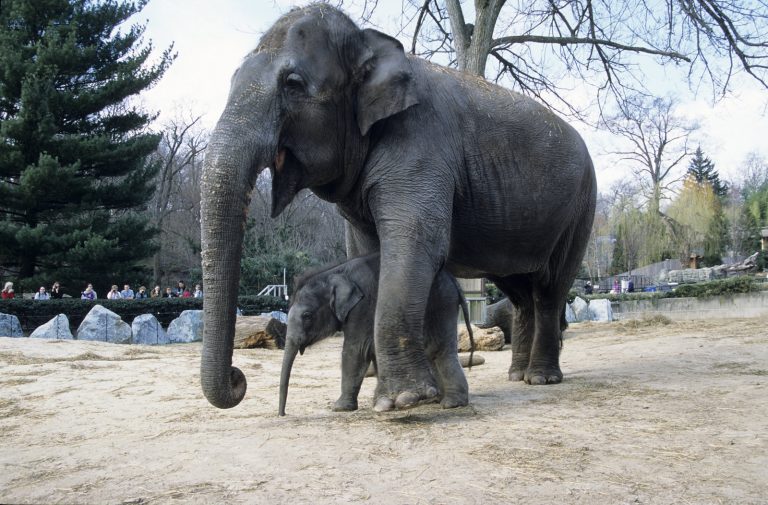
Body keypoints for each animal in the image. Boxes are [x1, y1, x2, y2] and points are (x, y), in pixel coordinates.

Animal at [280, 254, 474, 416]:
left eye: (307, 316)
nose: (282, 414)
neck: (335, 272)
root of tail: (454, 281)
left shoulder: (362, 307)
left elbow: (355, 350)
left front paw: (339, 408)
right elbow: (371, 349)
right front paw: (382, 403)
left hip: (442, 304)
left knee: (438, 349)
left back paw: (452, 403)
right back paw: (437, 399)